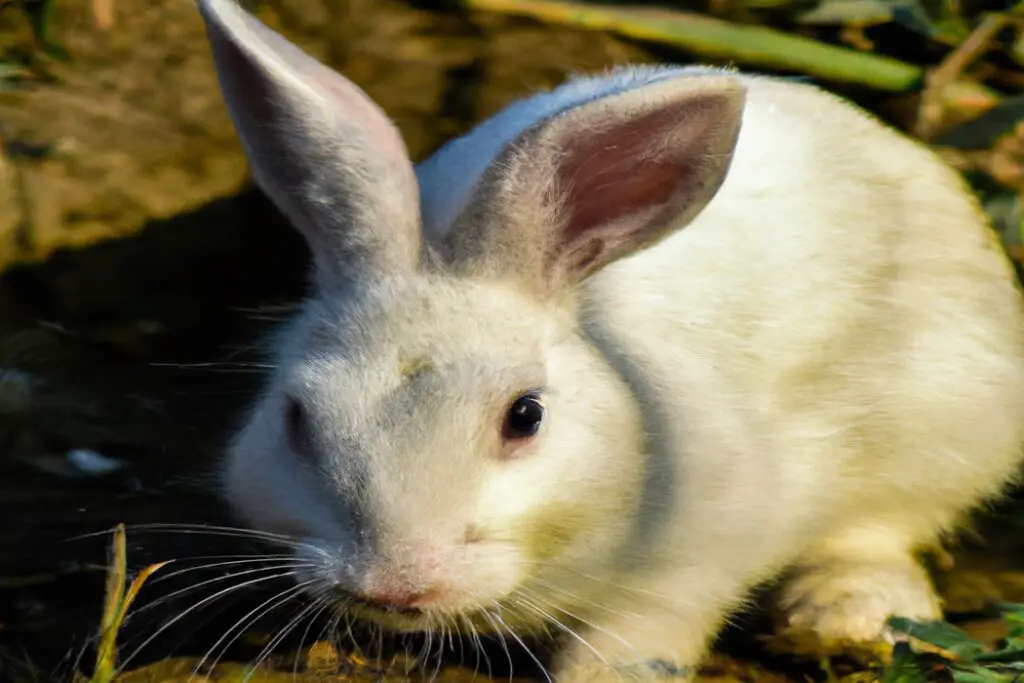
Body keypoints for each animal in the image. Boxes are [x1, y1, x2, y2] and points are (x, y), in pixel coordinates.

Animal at [197, 0, 1024, 680]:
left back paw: (841, 613)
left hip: (940, 429)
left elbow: (640, 637)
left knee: (881, 531)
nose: (398, 582)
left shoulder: (691, 564)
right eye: (296, 418)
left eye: (525, 416)